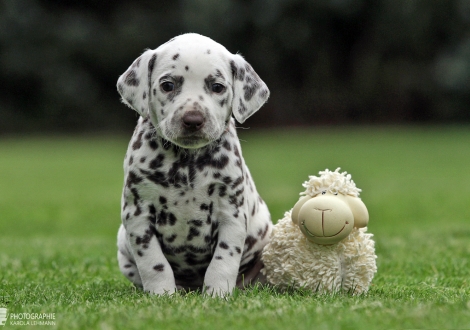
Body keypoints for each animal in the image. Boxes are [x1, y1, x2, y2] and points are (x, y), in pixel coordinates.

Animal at [115, 33, 274, 296]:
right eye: (168, 85)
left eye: (217, 87)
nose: (192, 120)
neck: (187, 164)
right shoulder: (138, 214)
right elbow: (153, 262)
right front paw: (162, 294)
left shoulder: (231, 213)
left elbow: (223, 260)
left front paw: (217, 294)